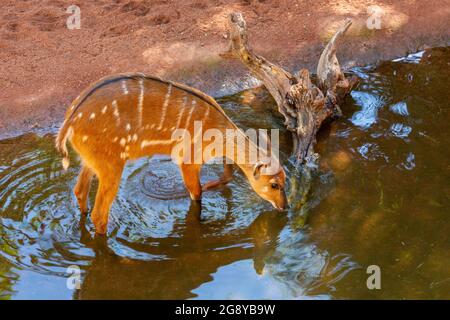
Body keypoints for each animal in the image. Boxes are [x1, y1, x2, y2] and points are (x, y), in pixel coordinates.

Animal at [56, 73, 286, 235]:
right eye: (274, 184)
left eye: (285, 179)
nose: (285, 206)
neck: (218, 129)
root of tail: (70, 121)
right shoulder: (188, 160)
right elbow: (197, 193)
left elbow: (227, 175)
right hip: (111, 166)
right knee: (99, 214)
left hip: (92, 161)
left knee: (79, 191)